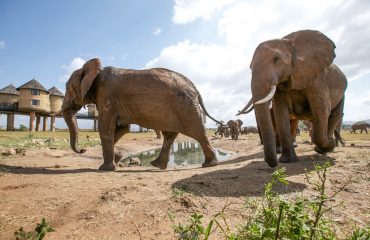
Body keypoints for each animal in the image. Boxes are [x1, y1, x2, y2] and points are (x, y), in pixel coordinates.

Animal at [61, 58, 221, 171]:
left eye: (67, 88)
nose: (83, 149)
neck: (93, 71)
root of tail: (195, 87)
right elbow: (121, 129)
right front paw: (118, 159)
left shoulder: (107, 95)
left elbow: (106, 128)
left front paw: (105, 168)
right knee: (170, 134)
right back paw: (157, 165)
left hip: (186, 107)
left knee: (197, 131)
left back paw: (209, 164)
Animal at [237, 30, 346, 167]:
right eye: (250, 67)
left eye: (277, 59)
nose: (273, 164)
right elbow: (280, 113)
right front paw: (287, 161)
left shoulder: (317, 80)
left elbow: (322, 110)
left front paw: (327, 144)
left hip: (342, 93)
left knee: (334, 115)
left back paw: (326, 146)